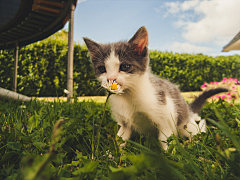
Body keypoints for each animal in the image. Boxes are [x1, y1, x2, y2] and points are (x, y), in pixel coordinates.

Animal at [83, 25, 228, 149]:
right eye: (102, 69)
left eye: (124, 66)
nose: (110, 79)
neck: (129, 96)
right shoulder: (124, 123)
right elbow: (120, 138)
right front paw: (111, 155)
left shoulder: (165, 116)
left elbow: (165, 139)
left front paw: (170, 158)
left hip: (185, 123)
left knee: (197, 127)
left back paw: (194, 141)